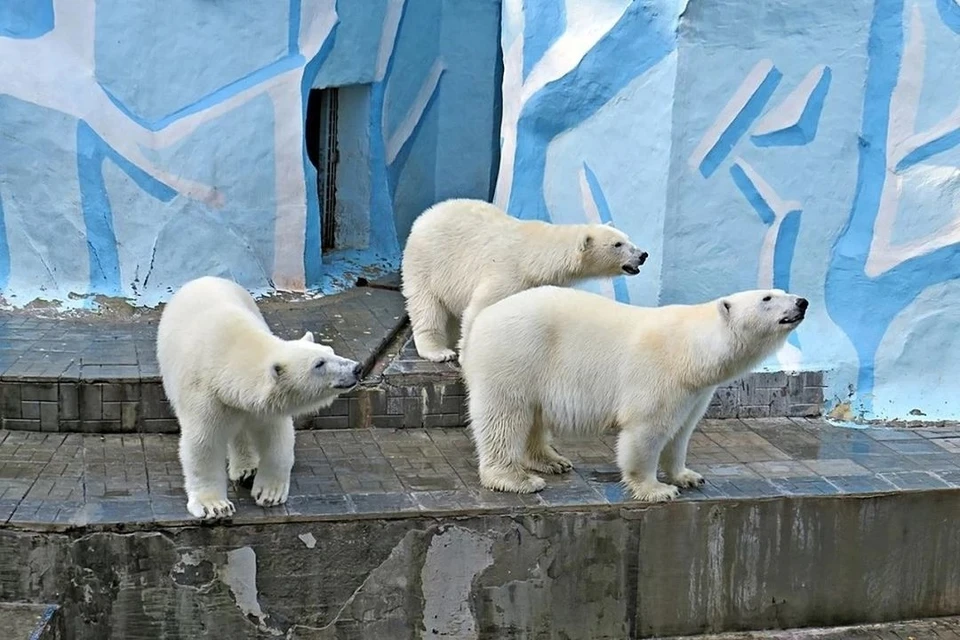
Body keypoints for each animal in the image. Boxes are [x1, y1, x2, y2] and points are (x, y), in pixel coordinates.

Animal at [158, 276, 360, 520]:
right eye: (319, 364)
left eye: (330, 350)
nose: (356, 368)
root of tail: (204, 278)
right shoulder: (205, 395)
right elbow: (204, 444)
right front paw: (215, 506)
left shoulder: (263, 406)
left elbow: (277, 438)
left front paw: (269, 493)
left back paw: (246, 468)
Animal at [402, 198, 648, 362]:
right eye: (617, 244)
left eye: (628, 238)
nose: (643, 255)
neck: (534, 258)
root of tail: (424, 216)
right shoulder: (506, 273)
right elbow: (478, 310)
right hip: (426, 264)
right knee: (427, 307)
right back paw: (439, 351)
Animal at [462, 288, 808, 502]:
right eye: (767, 297)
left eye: (782, 289)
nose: (802, 302)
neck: (692, 350)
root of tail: (482, 317)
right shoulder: (660, 374)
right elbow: (648, 429)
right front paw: (656, 490)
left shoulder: (696, 391)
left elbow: (682, 431)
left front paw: (687, 476)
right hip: (515, 353)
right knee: (504, 417)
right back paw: (517, 479)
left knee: (533, 415)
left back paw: (552, 460)